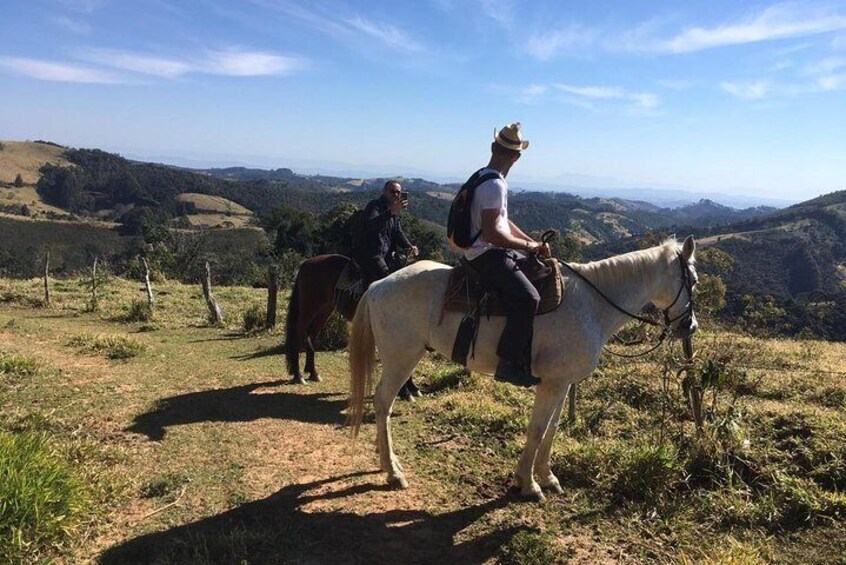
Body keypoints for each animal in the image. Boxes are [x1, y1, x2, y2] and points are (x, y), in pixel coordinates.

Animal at [284, 253, 420, 398]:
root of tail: (307, 263)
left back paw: (313, 373)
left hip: (324, 310)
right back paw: (298, 375)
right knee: (298, 334)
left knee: (311, 336)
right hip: (309, 309)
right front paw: (405, 391)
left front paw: (412, 388)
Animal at [348, 236, 700, 500]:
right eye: (693, 281)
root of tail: (378, 284)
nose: (691, 327)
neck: (593, 305)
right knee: (383, 402)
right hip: (401, 357)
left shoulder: (562, 382)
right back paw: (392, 471)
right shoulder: (551, 383)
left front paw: (547, 477)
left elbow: (552, 429)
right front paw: (528, 483)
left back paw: (389, 461)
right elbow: (537, 429)